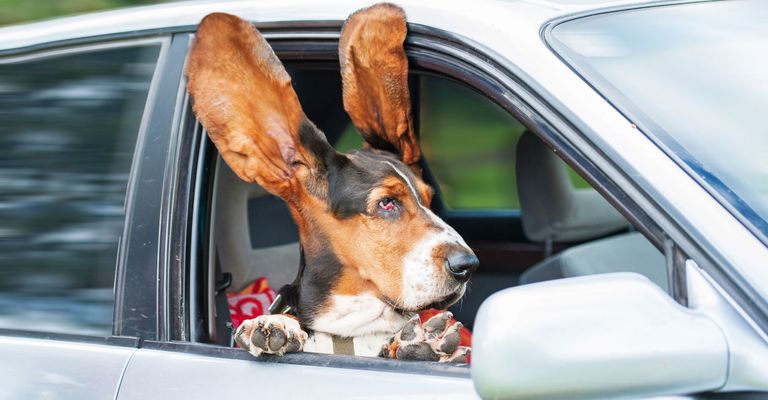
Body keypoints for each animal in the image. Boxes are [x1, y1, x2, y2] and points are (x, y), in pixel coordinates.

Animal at [184, 2, 476, 362]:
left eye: (429, 200)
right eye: (387, 203)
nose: (468, 265)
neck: (351, 332)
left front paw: (417, 344)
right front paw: (273, 324)